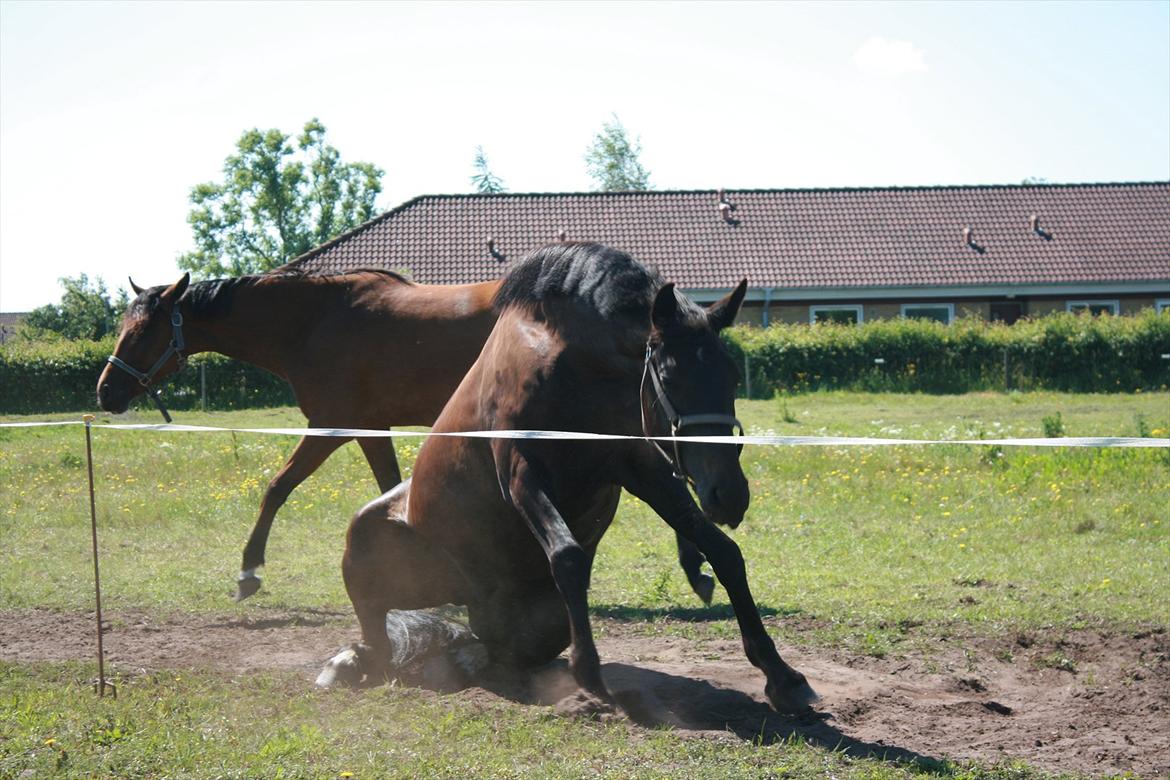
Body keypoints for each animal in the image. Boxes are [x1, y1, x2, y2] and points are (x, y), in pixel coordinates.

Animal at [98, 268, 720, 603]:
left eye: (143, 332)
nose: (106, 391)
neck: (312, 321)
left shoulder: (330, 425)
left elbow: (276, 487)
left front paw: (249, 571)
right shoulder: (369, 428)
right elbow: (389, 487)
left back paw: (696, 565)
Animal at [334, 244, 819, 715]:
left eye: (733, 374)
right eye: (668, 375)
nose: (729, 495)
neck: (571, 369)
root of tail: (477, 609)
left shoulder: (642, 469)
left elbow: (724, 552)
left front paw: (783, 677)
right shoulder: (522, 473)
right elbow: (567, 557)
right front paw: (590, 676)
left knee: (487, 652)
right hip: (367, 546)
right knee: (379, 638)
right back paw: (351, 664)